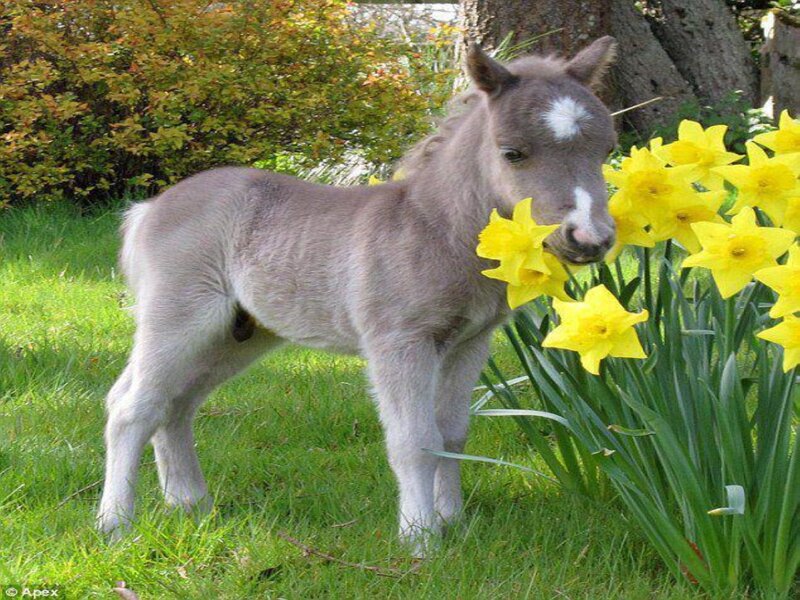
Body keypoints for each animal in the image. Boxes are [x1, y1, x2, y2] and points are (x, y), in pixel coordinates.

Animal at [97, 36, 619, 554]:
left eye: (606, 149)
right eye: (512, 152)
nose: (589, 239)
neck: (435, 228)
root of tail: (149, 208)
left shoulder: (469, 344)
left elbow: (451, 434)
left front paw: (452, 523)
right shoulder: (399, 342)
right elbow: (413, 440)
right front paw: (420, 540)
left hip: (237, 334)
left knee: (175, 404)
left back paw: (191, 505)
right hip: (180, 316)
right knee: (132, 407)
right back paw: (115, 524)